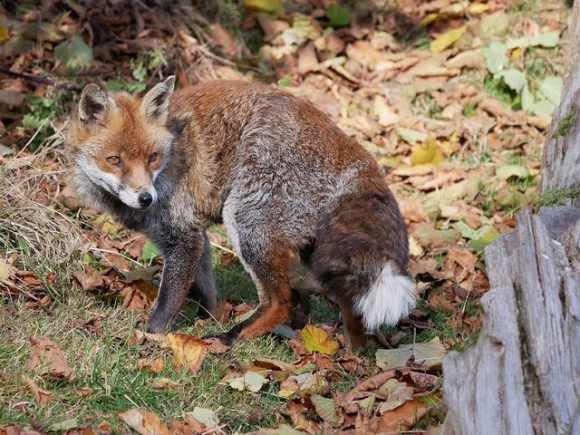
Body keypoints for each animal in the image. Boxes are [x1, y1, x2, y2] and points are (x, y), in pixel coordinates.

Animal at [68, 77, 414, 350]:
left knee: (281, 300)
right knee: (348, 301)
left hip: (246, 223)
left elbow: (168, 300)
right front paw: (207, 320)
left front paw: (151, 337)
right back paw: (355, 354)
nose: (145, 198)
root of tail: (351, 148)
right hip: (314, 250)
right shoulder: (193, 235)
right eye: (114, 160)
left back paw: (233, 337)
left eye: (152, 157)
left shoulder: (183, 237)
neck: (171, 158)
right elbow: (205, 289)